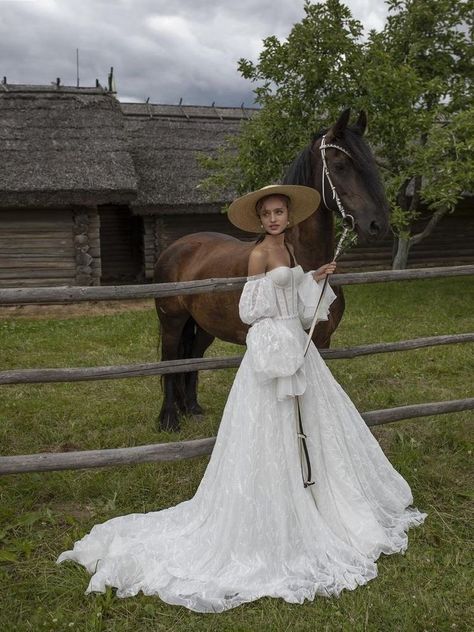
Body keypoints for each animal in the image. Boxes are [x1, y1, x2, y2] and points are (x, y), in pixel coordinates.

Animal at [153, 110, 388, 434]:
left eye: (372, 165)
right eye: (340, 165)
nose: (378, 225)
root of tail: (176, 247)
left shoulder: (321, 343)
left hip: (204, 325)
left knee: (193, 357)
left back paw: (192, 408)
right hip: (172, 323)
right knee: (171, 361)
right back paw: (169, 419)